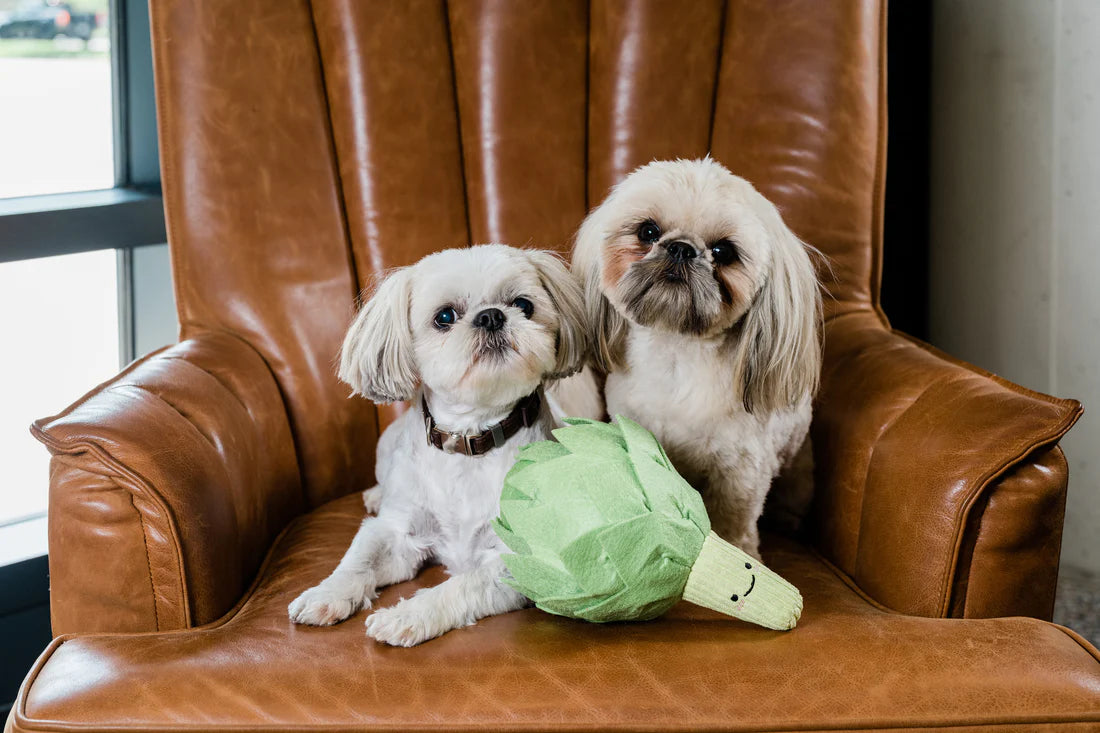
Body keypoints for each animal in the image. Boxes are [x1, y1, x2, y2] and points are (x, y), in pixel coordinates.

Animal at [288, 242, 589, 642]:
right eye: (445, 316)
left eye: (523, 305)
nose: (491, 316)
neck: (470, 439)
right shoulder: (397, 534)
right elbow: (358, 559)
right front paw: (326, 594)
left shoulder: (517, 560)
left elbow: (460, 585)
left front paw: (407, 615)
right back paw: (375, 495)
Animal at [572, 158, 822, 559]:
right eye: (648, 231)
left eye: (723, 252)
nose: (681, 248)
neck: (676, 355)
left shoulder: (740, 475)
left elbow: (733, 524)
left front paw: (737, 553)